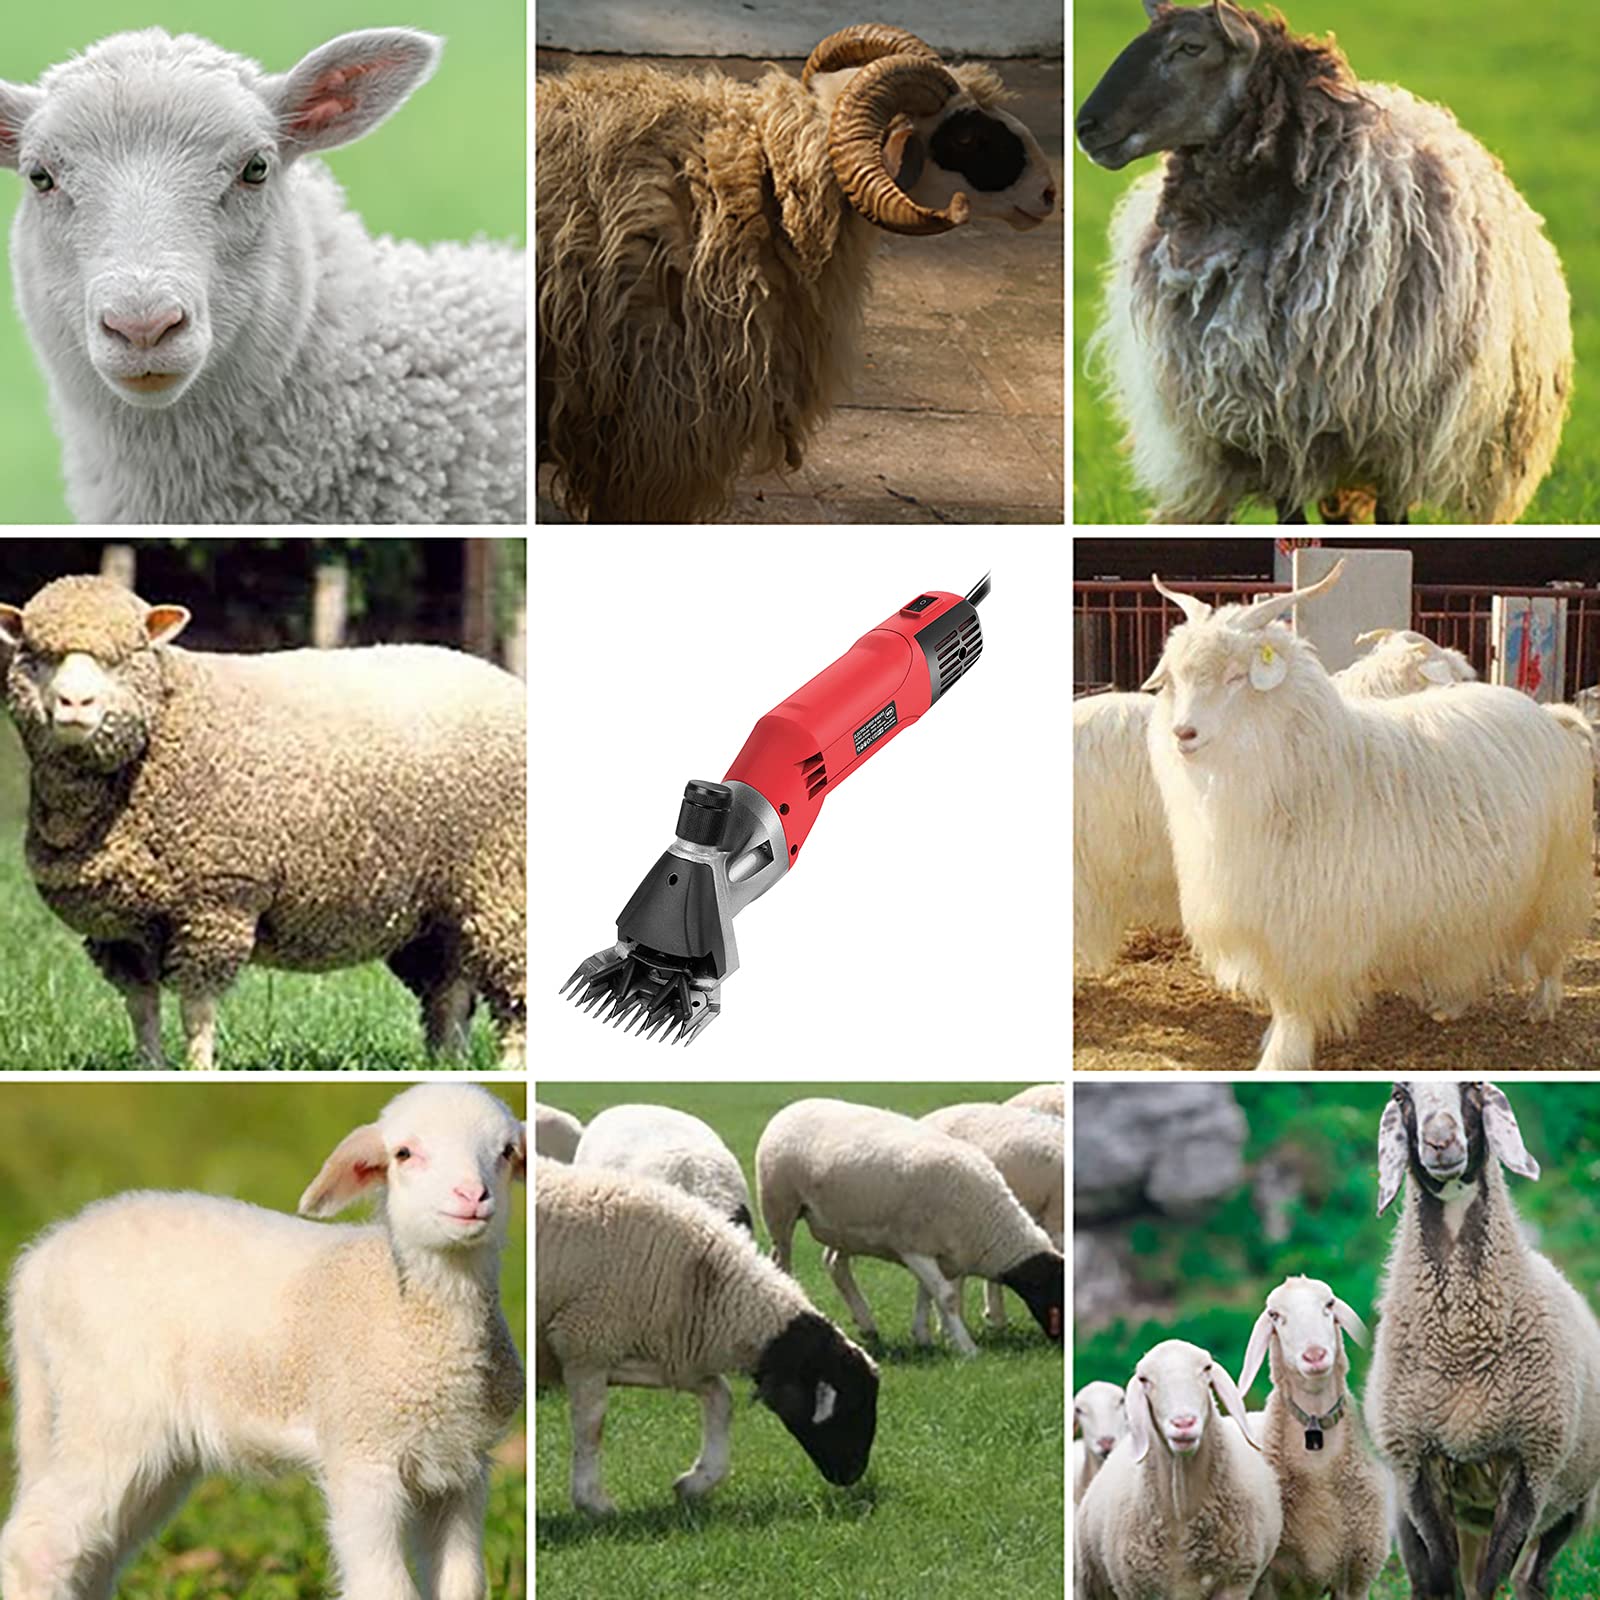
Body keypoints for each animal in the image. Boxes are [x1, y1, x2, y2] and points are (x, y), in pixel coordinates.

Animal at [0, 575, 526, 1070]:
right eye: (36, 656)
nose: (74, 704)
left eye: (124, 657)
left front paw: (198, 1070)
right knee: (451, 995)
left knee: (512, 991)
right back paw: (449, 1062)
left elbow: (197, 1010)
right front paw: (150, 1067)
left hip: (503, 885)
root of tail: (505, 680)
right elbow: (142, 1008)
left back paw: (509, 1065)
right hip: (439, 911)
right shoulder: (121, 929)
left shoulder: (216, 901)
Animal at [0, 1083, 526, 1600]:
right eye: (404, 1153)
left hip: (148, 1451)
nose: (472, 1196)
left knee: (93, 1557)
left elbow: (463, 1583)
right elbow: (385, 1588)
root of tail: (38, 1264)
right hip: (110, 1410)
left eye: (505, 1152)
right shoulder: (361, 1454)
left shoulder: (461, 1469)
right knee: (35, 1544)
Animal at [535, 1159, 878, 1516]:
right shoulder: (584, 1343)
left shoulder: (659, 1356)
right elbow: (592, 1425)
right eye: (852, 1405)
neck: (702, 1279)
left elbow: (721, 1397)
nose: (853, 1475)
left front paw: (695, 1482)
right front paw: (593, 1502)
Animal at [1143, 561, 1594, 1068]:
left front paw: (1281, 1056)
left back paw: (1543, 1003)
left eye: (1238, 676)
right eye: (1174, 680)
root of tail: (1549, 715)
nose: (1183, 733)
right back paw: (1450, 1003)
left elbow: (1292, 1006)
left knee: (1551, 950)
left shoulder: (1305, 931)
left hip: (1556, 879)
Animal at [1365, 1080, 1600, 1599]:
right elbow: (1441, 1578)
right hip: (1416, 1511)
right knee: (1428, 1578)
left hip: (1571, 1500)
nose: (1440, 1142)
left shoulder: (1530, 1468)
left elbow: (1492, 1582)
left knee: (1532, 1578)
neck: (1462, 1345)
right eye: (1400, 1095)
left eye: (1473, 1087)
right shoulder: (1417, 1469)